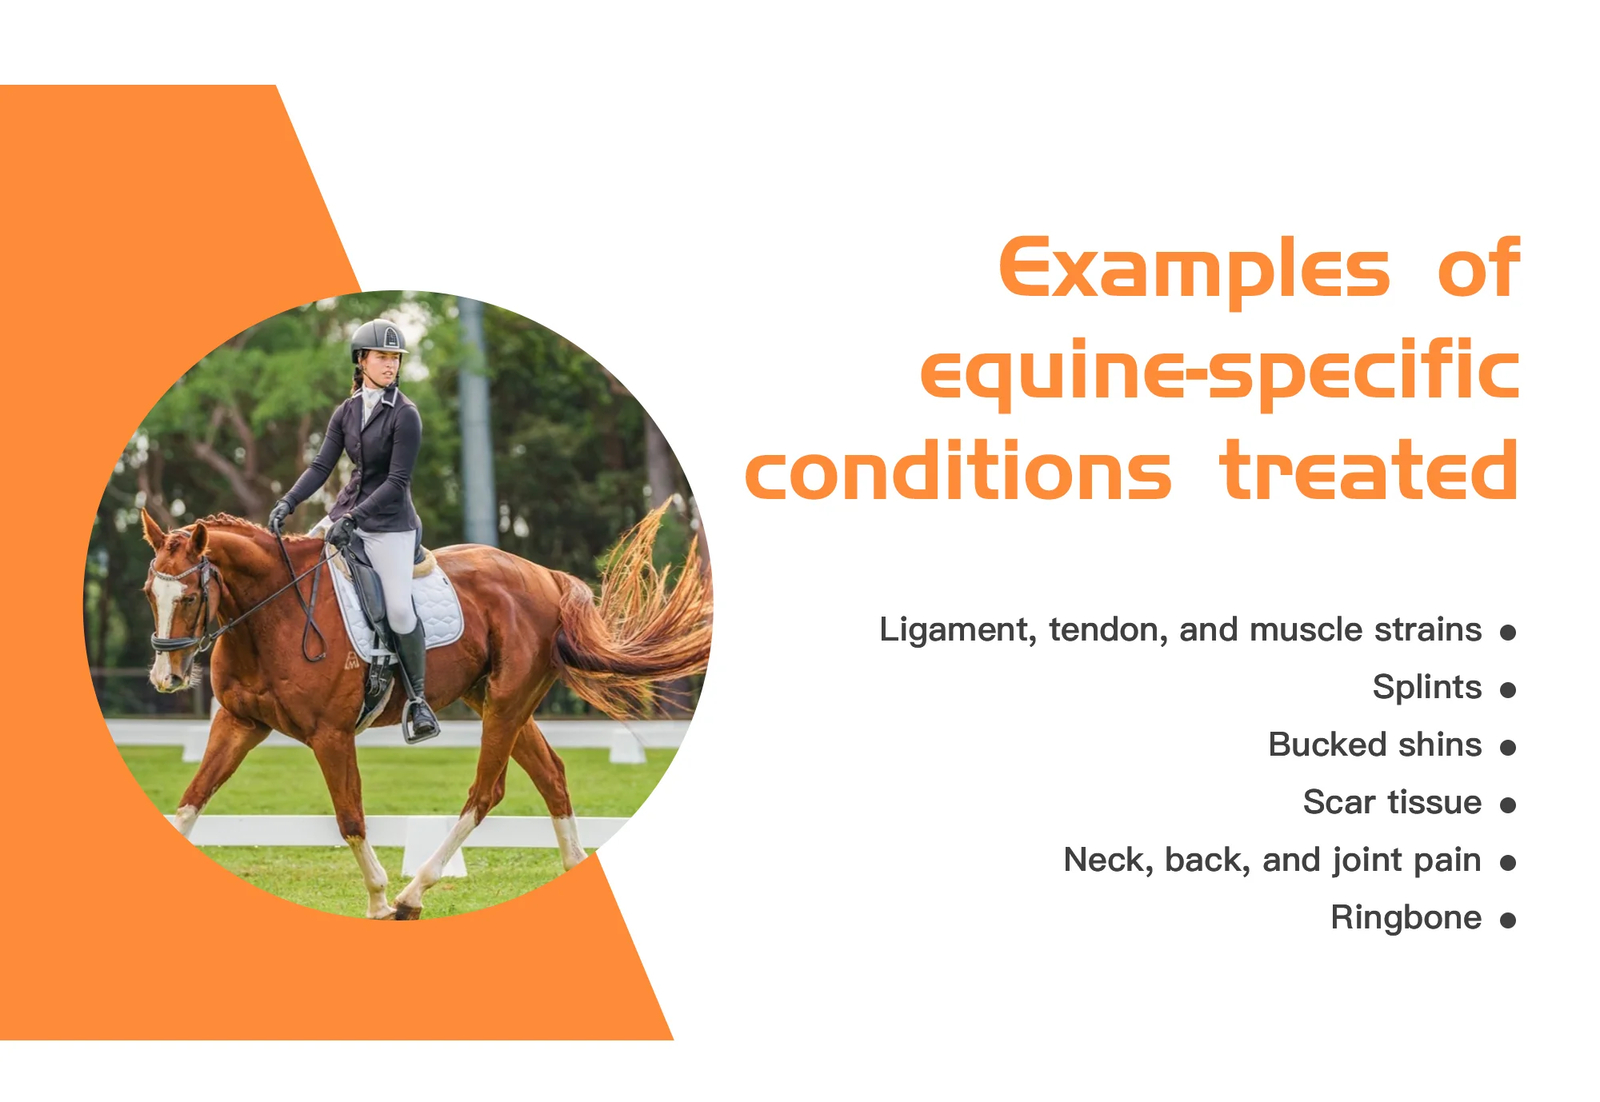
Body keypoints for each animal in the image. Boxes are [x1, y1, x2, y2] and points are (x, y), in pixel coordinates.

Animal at [137, 503, 711, 919]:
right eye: (149, 593)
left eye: (190, 597)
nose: (166, 678)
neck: (272, 613)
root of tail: (545, 576)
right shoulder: (238, 723)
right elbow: (190, 803)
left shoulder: (331, 735)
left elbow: (351, 819)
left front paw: (378, 902)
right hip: (495, 701)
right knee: (551, 775)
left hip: (506, 705)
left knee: (485, 792)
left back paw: (411, 896)